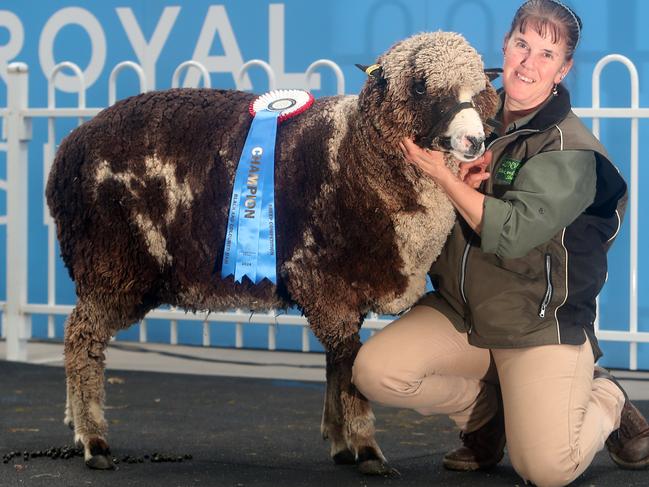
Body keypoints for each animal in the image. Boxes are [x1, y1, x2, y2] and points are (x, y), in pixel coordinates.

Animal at [46, 30, 496, 472]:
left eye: (480, 86)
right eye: (420, 86)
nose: (475, 140)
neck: (357, 154)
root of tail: (69, 146)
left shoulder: (342, 292)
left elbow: (336, 366)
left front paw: (340, 443)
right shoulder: (325, 281)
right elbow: (348, 365)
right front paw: (366, 449)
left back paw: (75, 425)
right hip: (110, 263)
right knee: (81, 338)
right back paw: (94, 441)